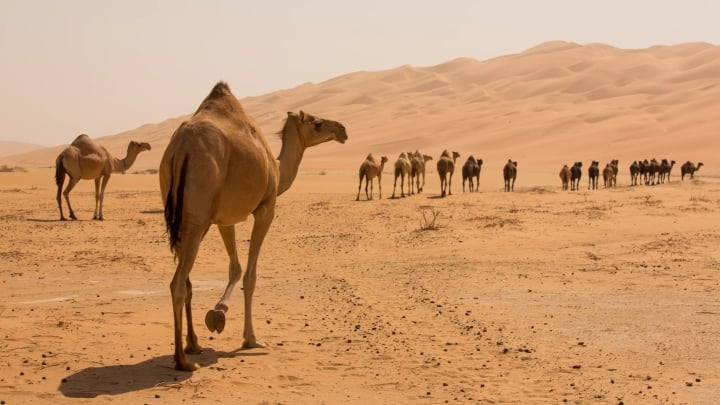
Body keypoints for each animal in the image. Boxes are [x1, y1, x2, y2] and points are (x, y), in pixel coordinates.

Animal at [158, 82, 348, 370]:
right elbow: (250, 275)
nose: (342, 129)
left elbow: (234, 267)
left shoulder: (224, 219)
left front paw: (217, 315)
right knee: (177, 284)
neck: (277, 167)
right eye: (316, 123)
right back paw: (182, 361)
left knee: (186, 280)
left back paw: (193, 345)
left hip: (183, 218)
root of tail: (182, 148)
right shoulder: (266, 209)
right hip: (197, 217)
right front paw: (250, 338)